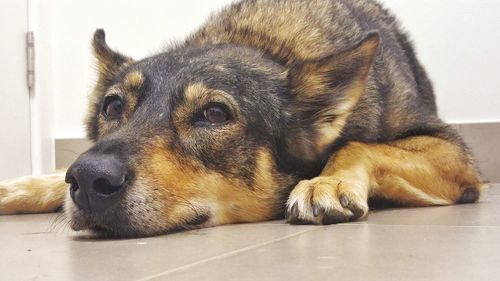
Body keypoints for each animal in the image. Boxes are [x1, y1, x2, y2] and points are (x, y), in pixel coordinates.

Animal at [0, 0, 484, 236]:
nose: (88, 179)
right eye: (113, 107)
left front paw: (325, 182)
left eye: (214, 113)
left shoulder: (454, 154)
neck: (265, 43)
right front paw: (22, 187)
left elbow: (355, 143)